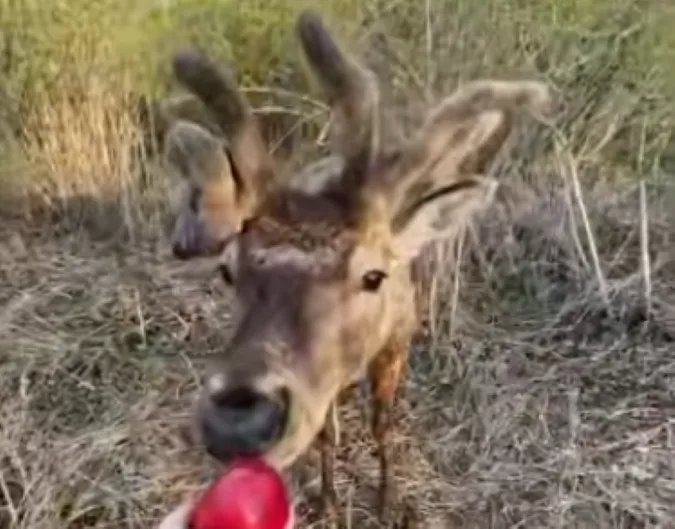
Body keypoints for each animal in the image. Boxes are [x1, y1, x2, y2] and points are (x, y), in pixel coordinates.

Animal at [160, 9, 555, 528]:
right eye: (228, 270)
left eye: (373, 276)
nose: (238, 420)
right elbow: (326, 432)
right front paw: (328, 499)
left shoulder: (397, 339)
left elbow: (381, 423)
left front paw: (388, 499)